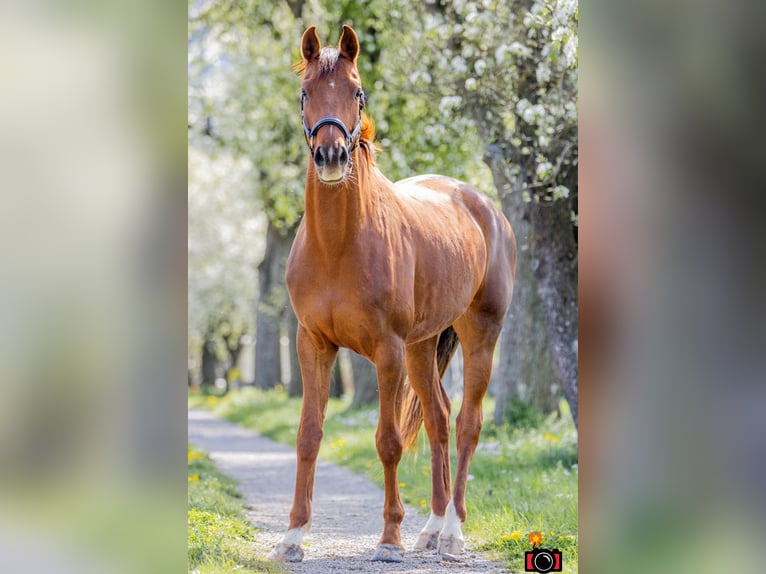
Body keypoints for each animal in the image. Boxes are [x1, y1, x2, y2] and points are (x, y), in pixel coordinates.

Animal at [268, 24, 516, 564]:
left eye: (357, 92)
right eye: (305, 93)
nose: (332, 157)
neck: (339, 244)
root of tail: (483, 204)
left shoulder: (387, 351)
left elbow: (388, 441)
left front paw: (388, 540)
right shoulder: (312, 344)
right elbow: (308, 435)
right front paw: (293, 536)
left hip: (479, 334)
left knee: (467, 424)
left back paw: (452, 533)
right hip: (423, 348)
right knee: (439, 419)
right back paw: (432, 527)